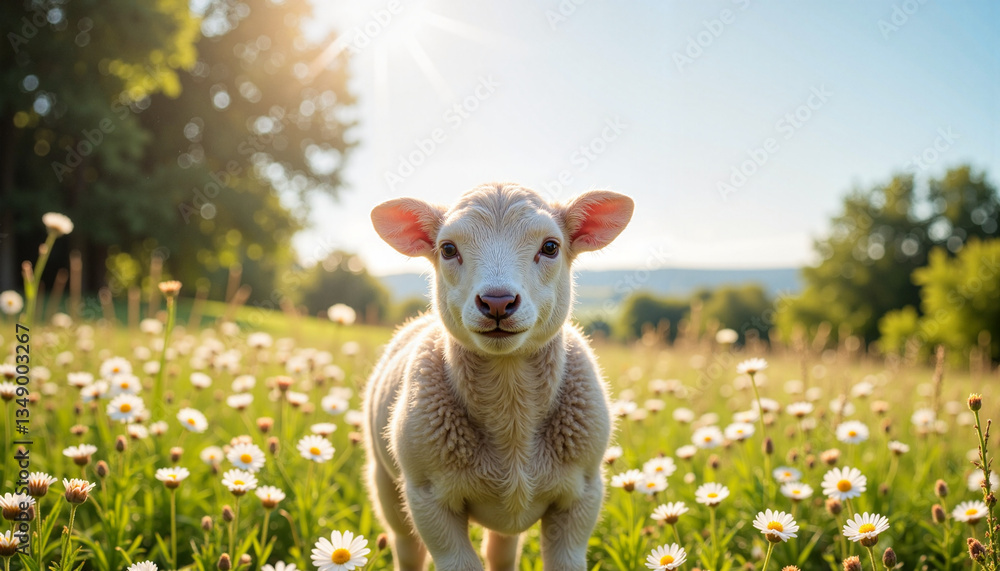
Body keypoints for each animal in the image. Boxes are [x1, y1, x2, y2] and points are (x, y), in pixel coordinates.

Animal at [364, 182, 634, 570]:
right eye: (448, 249)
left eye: (550, 247)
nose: (497, 302)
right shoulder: (427, 497)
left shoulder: (582, 494)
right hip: (386, 484)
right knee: (407, 548)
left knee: (501, 551)